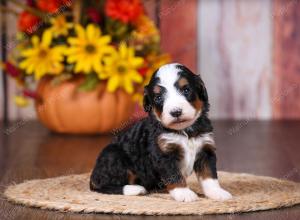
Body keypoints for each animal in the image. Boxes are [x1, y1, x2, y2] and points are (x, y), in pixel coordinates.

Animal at [90, 62, 233, 202]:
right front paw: (184, 193)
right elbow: (174, 175)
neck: (185, 131)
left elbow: (209, 176)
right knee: (103, 186)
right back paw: (136, 189)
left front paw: (217, 193)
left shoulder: (205, 149)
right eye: (158, 97)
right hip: (114, 155)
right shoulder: (164, 153)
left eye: (186, 90)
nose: (176, 112)